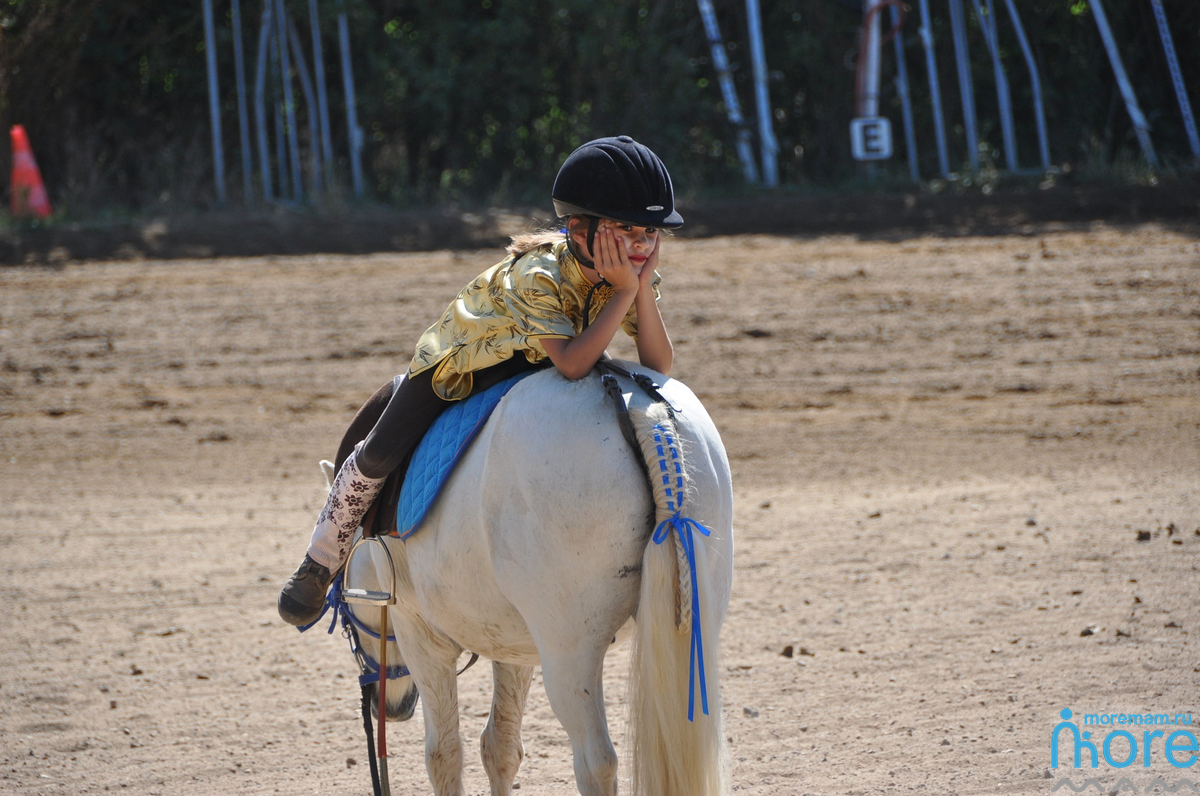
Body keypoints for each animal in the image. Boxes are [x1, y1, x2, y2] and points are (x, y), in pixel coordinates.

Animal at [336, 362, 729, 796]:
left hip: (570, 657)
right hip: (691, 633)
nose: (389, 707)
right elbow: (501, 747)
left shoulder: (420, 635)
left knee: (596, 762)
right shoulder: (514, 646)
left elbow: (443, 754)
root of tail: (646, 414)